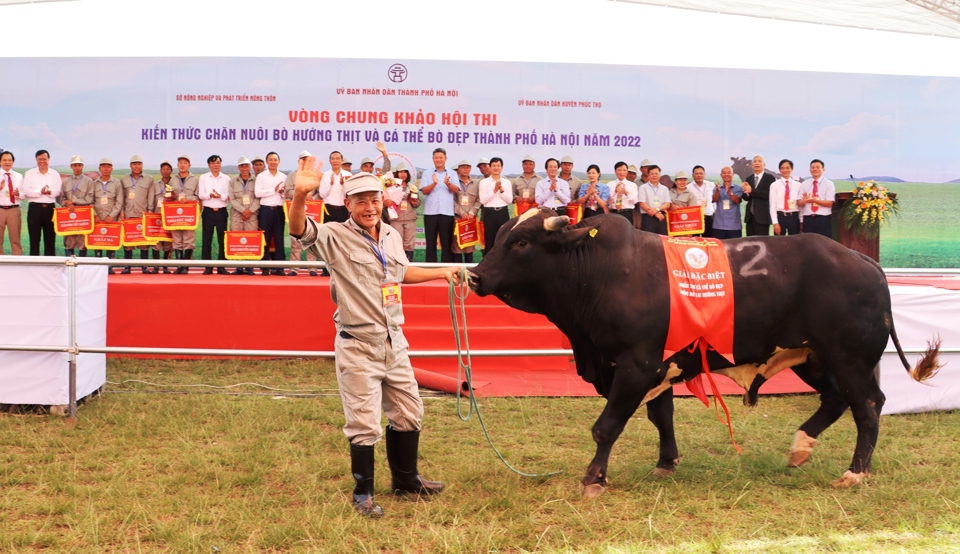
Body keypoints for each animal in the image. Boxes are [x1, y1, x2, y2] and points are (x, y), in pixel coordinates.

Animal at [468, 209, 940, 494]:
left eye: (522, 243)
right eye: (501, 235)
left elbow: (607, 426)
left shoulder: (637, 365)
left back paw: (854, 472)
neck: (603, 273)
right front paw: (666, 462)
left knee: (868, 405)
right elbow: (661, 417)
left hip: (850, 358)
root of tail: (864, 261)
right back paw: (799, 448)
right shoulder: (658, 367)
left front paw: (594, 479)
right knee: (836, 400)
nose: (474, 276)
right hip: (812, 357)